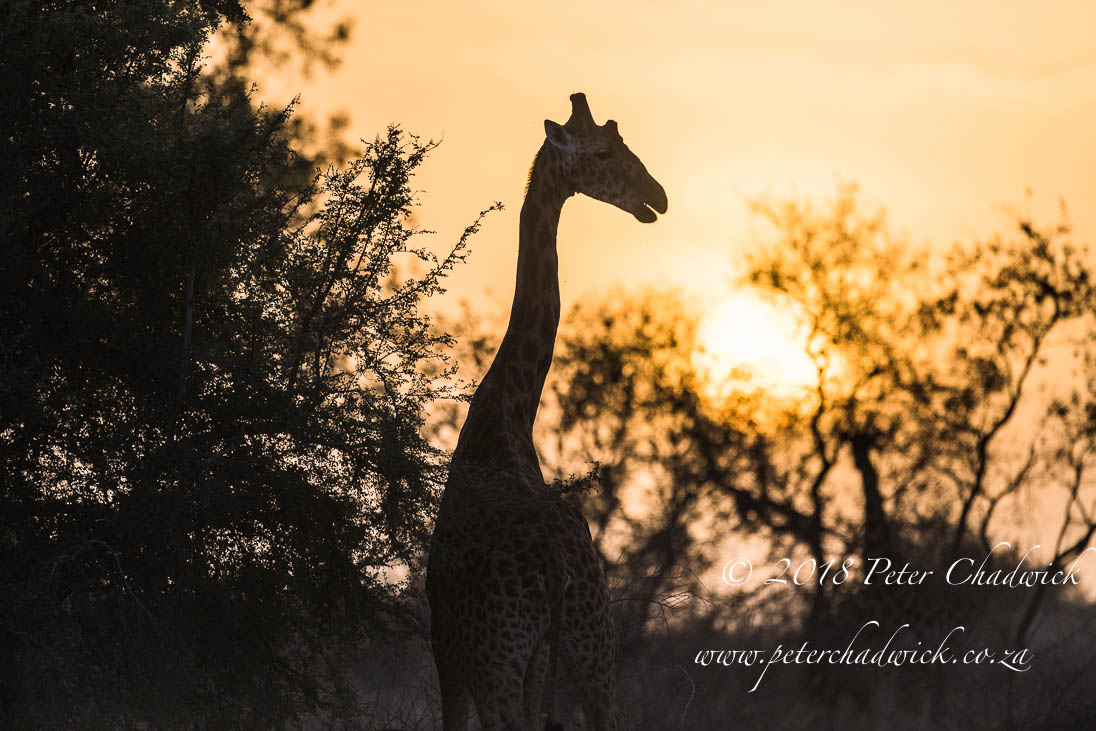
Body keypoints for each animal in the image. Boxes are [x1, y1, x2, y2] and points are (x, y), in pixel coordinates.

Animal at [426, 93, 667, 731]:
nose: (658, 197)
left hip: (500, 661)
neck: (508, 410)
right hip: (592, 649)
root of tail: (558, 565)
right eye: (606, 152)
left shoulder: (445, 643)